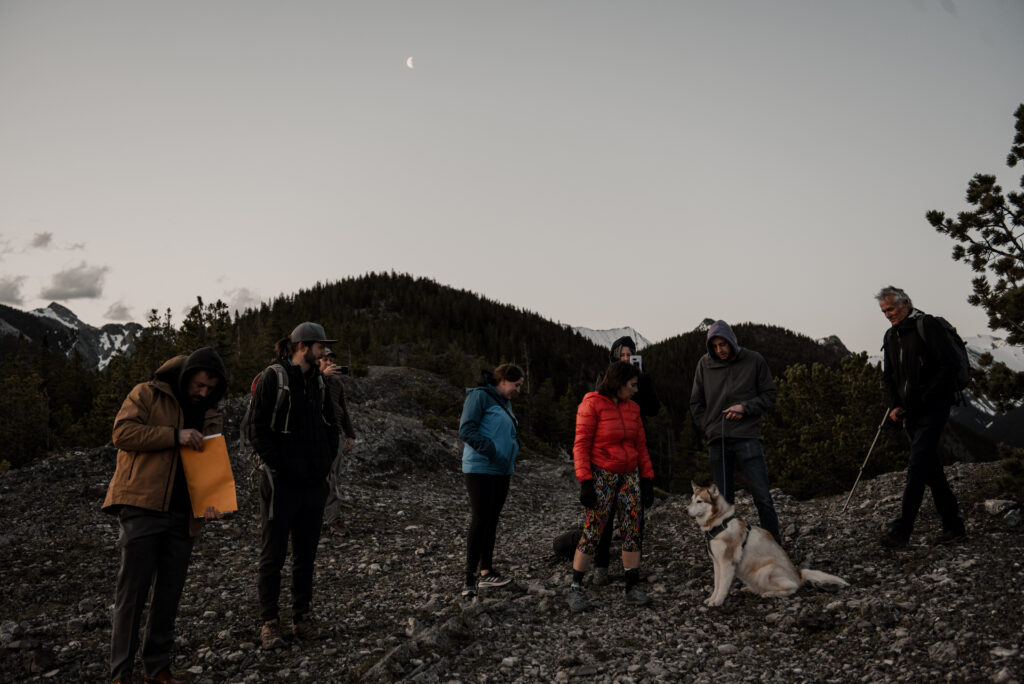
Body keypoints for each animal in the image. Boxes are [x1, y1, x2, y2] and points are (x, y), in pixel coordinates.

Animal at [688, 479, 847, 606]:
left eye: (699, 501)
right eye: (691, 499)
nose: (686, 510)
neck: (720, 523)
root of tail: (799, 575)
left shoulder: (727, 562)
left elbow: (722, 585)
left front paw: (718, 601)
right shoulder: (716, 562)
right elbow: (716, 584)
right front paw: (712, 598)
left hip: (765, 570)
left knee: (792, 588)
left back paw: (770, 593)